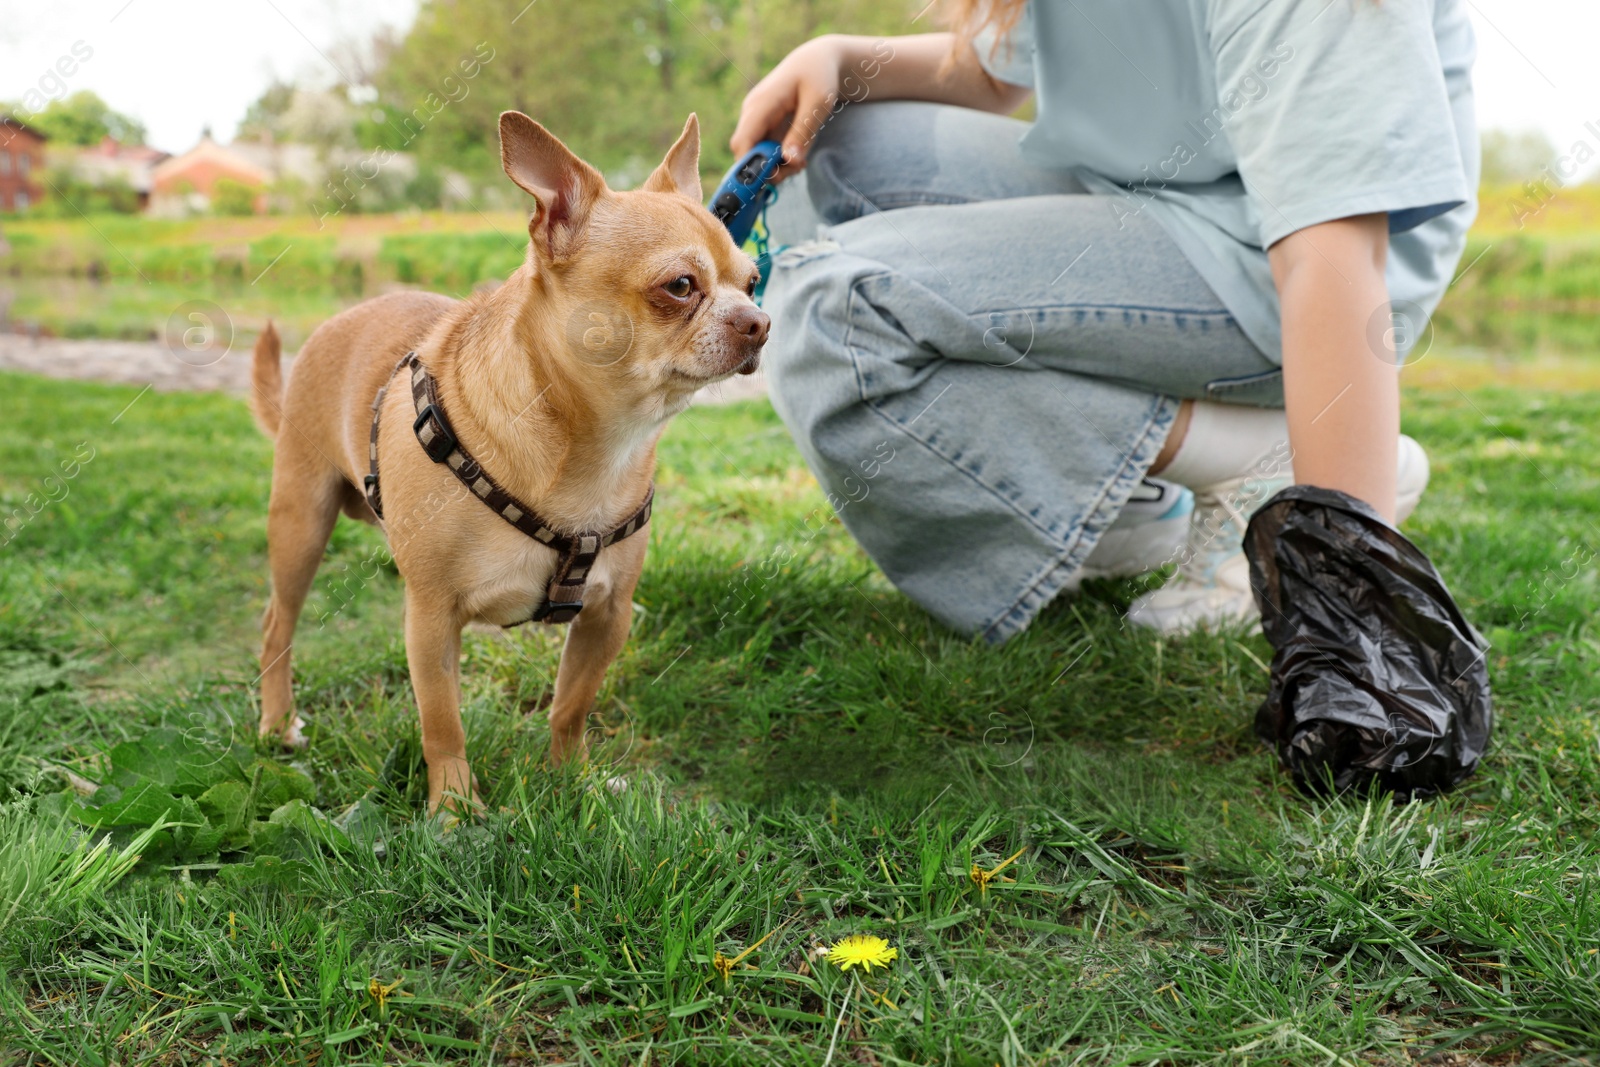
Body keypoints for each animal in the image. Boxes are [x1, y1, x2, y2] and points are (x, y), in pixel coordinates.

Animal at [249, 112, 768, 812]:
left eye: (753, 281)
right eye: (680, 287)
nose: (759, 321)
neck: (594, 445)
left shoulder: (607, 616)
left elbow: (571, 707)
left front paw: (573, 781)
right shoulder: (432, 619)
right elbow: (443, 724)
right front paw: (454, 811)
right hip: (301, 522)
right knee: (277, 624)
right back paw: (277, 724)